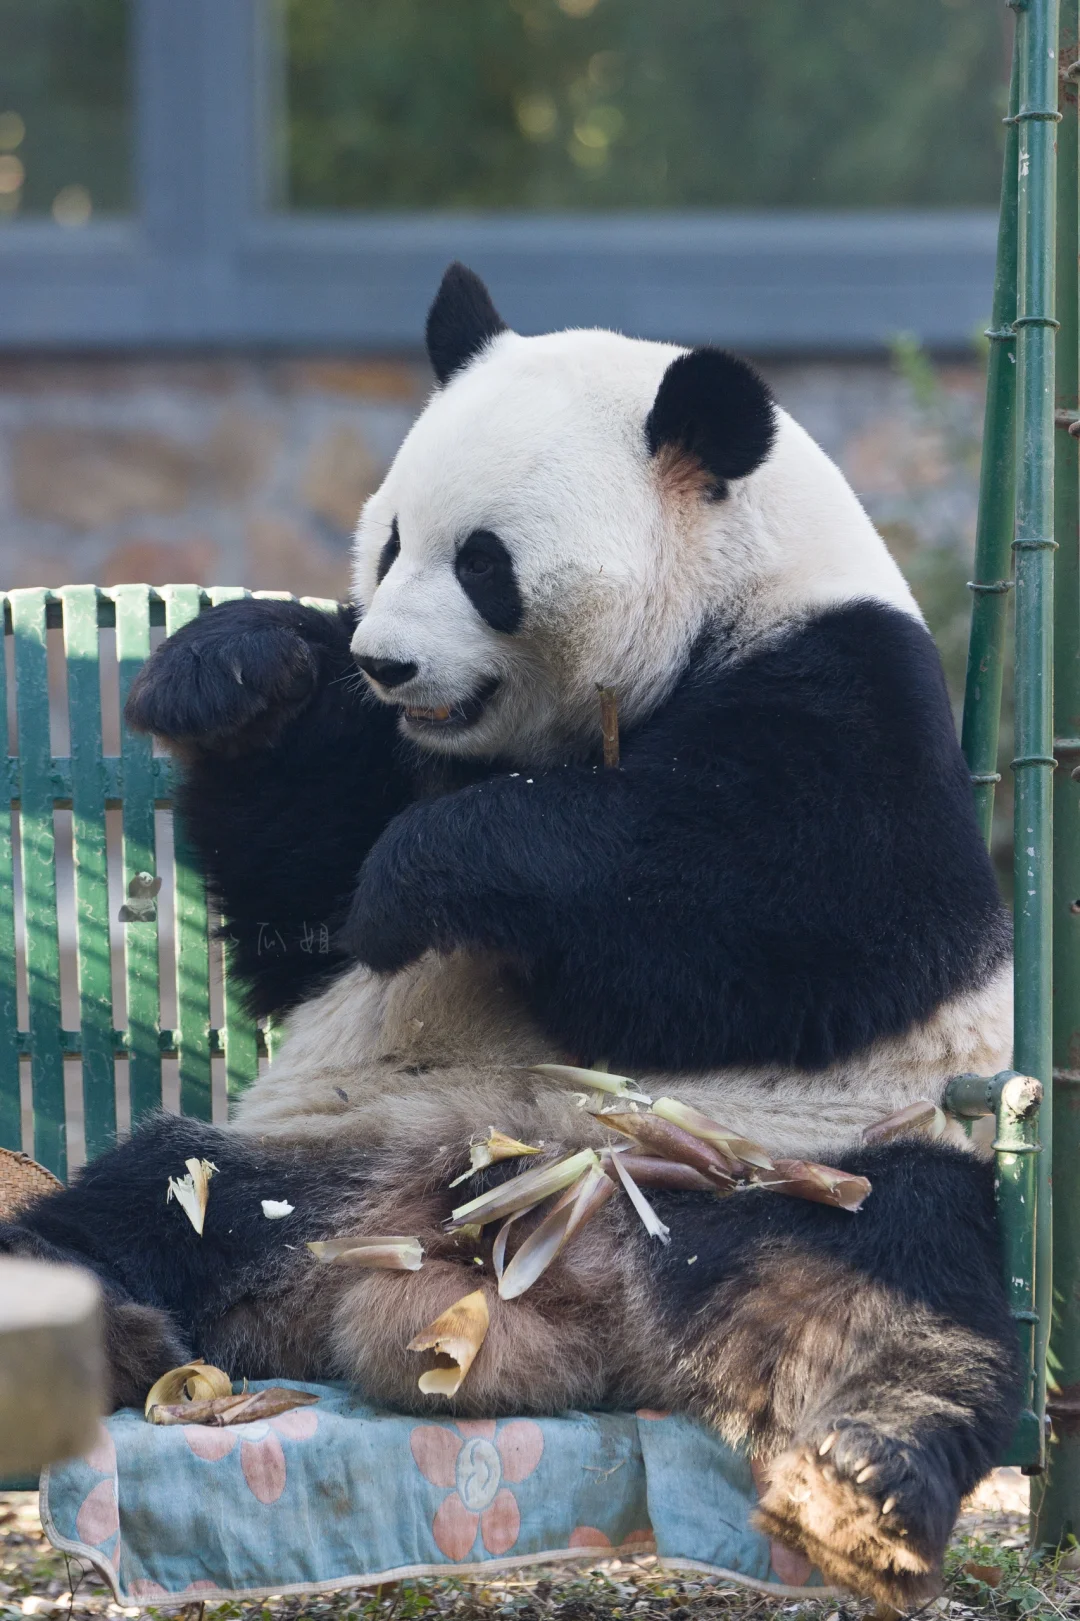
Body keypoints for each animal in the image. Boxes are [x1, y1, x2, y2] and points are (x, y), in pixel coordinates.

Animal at [4, 265, 1018, 1608]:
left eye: (484, 562)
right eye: (388, 541)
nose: (384, 660)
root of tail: (556, 1265)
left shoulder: (850, 685)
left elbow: (801, 916)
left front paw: (429, 874)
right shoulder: (394, 758)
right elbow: (303, 903)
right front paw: (229, 673)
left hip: (799, 1168)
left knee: (904, 1289)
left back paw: (864, 1485)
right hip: (310, 1170)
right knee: (136, 1204)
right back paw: (103, 1332)